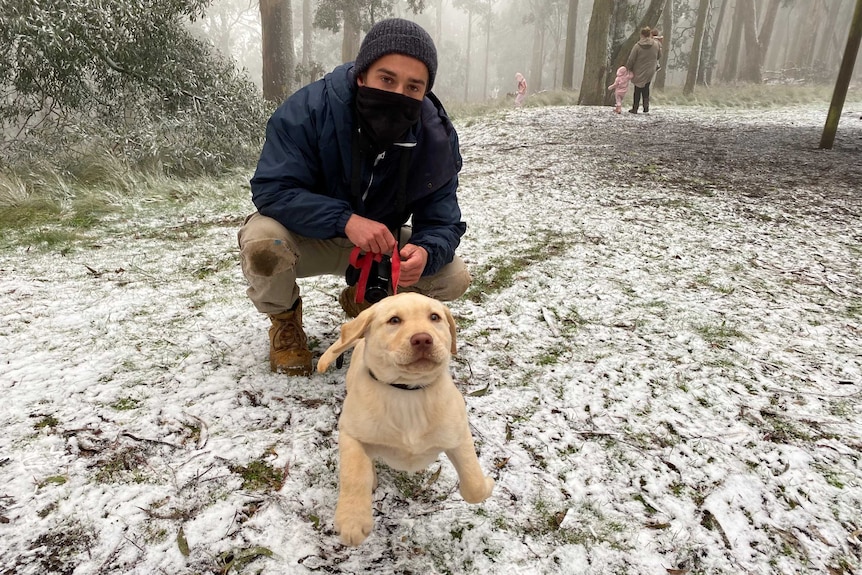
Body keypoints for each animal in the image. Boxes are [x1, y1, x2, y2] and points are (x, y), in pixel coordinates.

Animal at [318, 294, 496, 548]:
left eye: (435, 317)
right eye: (394, 320)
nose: (422, 339)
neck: (408, 392)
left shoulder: (458, 435)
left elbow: (473, 483)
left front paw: (487, 484)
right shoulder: (350, 432)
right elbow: (354, 473)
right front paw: (352, 519)